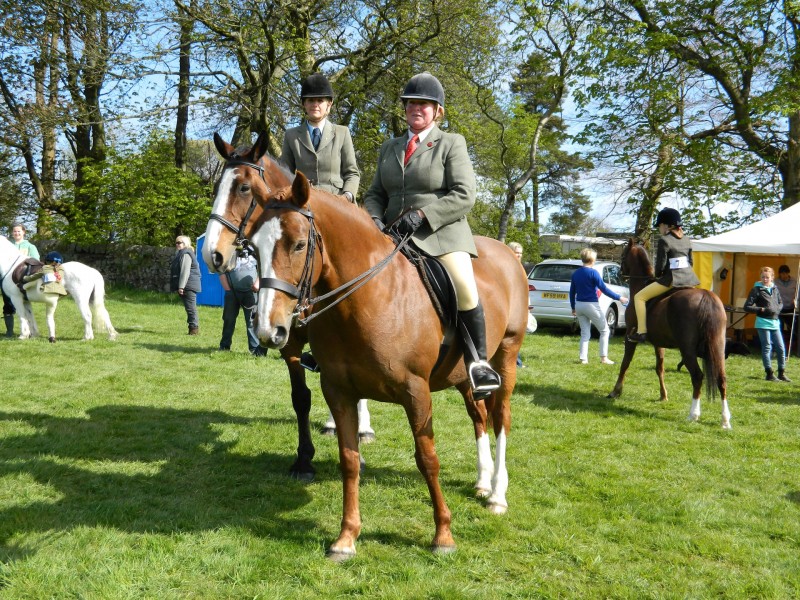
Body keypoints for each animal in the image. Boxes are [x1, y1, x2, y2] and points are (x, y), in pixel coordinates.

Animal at [205, 134, 532, 560]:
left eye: (298, 245)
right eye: (256, 249)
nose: (267, 328)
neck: (366, 296)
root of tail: (506, 253)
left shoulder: (416, 392)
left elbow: (427, 459)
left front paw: (443, 534)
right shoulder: (336, 389)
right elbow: (348, 458)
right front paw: (346, 536)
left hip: (506, 355)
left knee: (500, 418)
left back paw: (496, 494)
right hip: (464, 373)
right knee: (478, 414)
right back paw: (482, 480)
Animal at [608, 237, 732, 428]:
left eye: (623, 255)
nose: (621, 273)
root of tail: (705, 297)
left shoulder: (630, 337)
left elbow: (625, 364)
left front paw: (615, 391)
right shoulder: (659, 343)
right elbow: (660, 368)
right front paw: (663, 395)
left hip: (687, 350)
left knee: (697, 377)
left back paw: (693, 414)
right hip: (717, 348)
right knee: (721, 378)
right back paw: (725, 420)